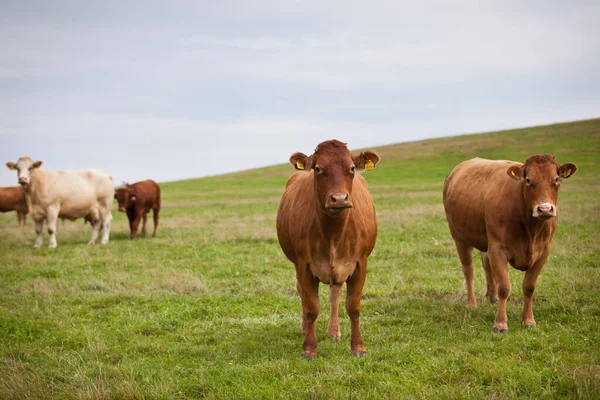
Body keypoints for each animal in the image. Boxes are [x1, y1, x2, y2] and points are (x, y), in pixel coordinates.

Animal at [276, 141, 380, 360]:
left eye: (351, 168)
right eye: (318, 169)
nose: (339, 199)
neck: (333, 232)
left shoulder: (360, 264)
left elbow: (353, 307)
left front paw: (358, 347)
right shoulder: (304, 265)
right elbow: (311, 307)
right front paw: (308, 348)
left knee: (335, 294)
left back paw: (334, 331)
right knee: (302, 293)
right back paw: (305, 329)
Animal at [446, 155, 576, 332]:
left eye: (556, 179)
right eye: (528, 180)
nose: (544, 209)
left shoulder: (544, 251)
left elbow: (529, 287)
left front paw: (528, 320)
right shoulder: (497, 249)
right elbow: (504, 287)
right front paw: (500, 324)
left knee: (486, 264)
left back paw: (492, 297)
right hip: (459, 237)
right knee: (468, 270)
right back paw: (472, 303)